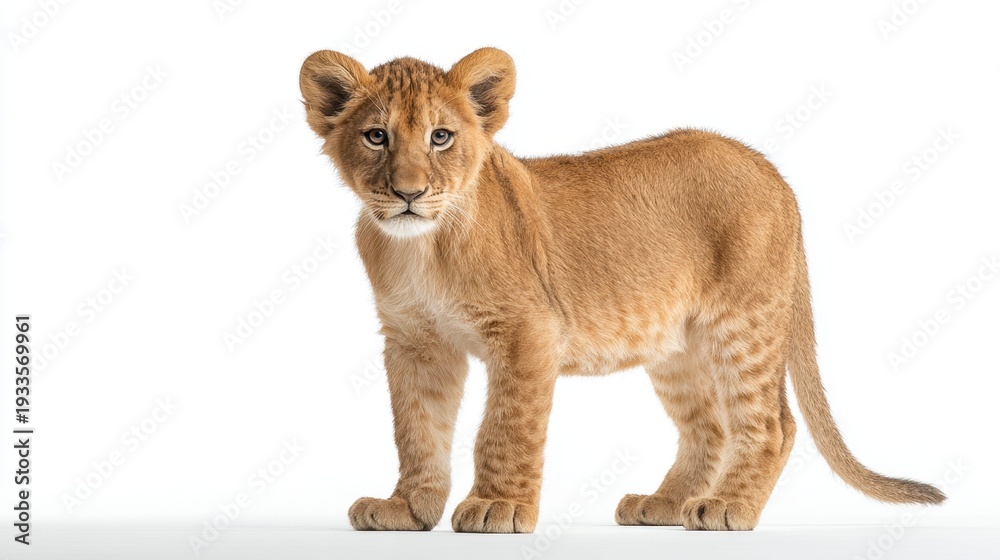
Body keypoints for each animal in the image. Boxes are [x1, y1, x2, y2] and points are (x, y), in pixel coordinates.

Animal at [298, 47, 944, 533]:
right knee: (709, 426)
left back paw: (727, 506)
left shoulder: (528, 331)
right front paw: (407, 508)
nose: (408, 193)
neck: (420, 249)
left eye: (440, 137)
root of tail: (769, 169)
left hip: (746, 322)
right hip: (678, 347)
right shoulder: (414, 342)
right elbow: (416, 428)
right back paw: (665, 504)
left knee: (771, 424)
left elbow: (505, 426)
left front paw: (497, 507)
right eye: (376, 136)